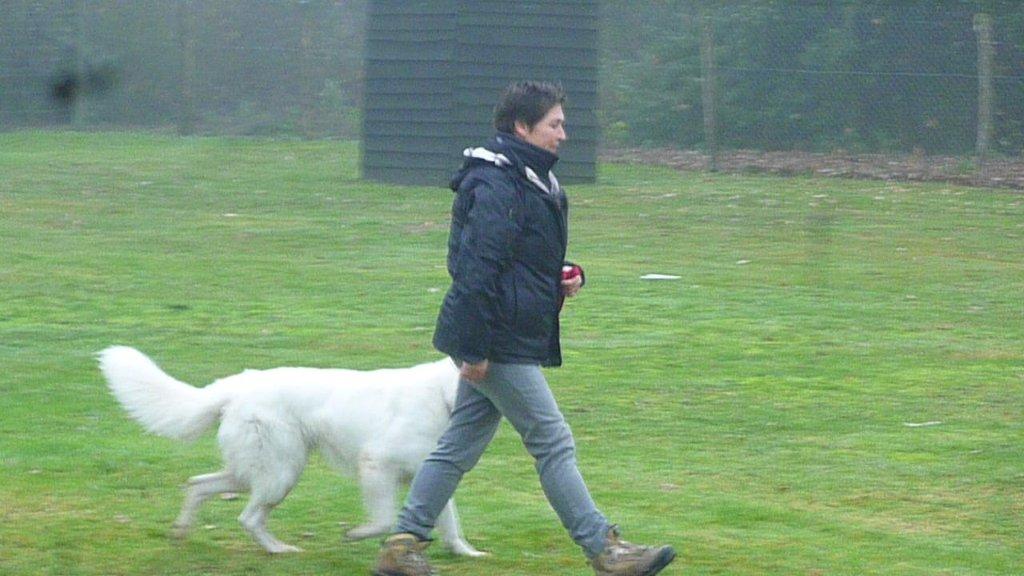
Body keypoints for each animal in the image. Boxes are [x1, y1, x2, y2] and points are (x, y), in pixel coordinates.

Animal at [97, 342, 481, 553]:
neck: (442, 396)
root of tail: (235, 386)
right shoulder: (376, 465)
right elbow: (385, 520)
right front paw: (356, 534)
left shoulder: (431, 474)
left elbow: (451, 525)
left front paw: (467, 554)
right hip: (281, 474)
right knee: (248, 517)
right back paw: (279, 550)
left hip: (254, 474)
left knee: (198, 486)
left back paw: (180, 533)